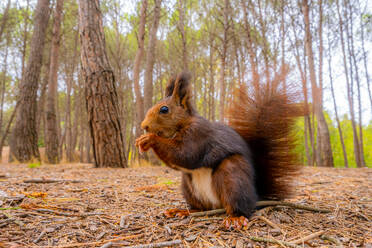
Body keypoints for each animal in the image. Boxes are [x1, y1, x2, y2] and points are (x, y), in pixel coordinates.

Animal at [135, 71, 300, 229]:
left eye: (164, 109)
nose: (144, 126)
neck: (184, 123)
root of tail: (256, 195)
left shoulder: (199, 135)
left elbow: (184, 155)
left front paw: (149, 139)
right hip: (188, 186)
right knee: (201, 208)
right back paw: (182, 211)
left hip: (232, 177)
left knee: (239, 205)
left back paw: (235, 218)